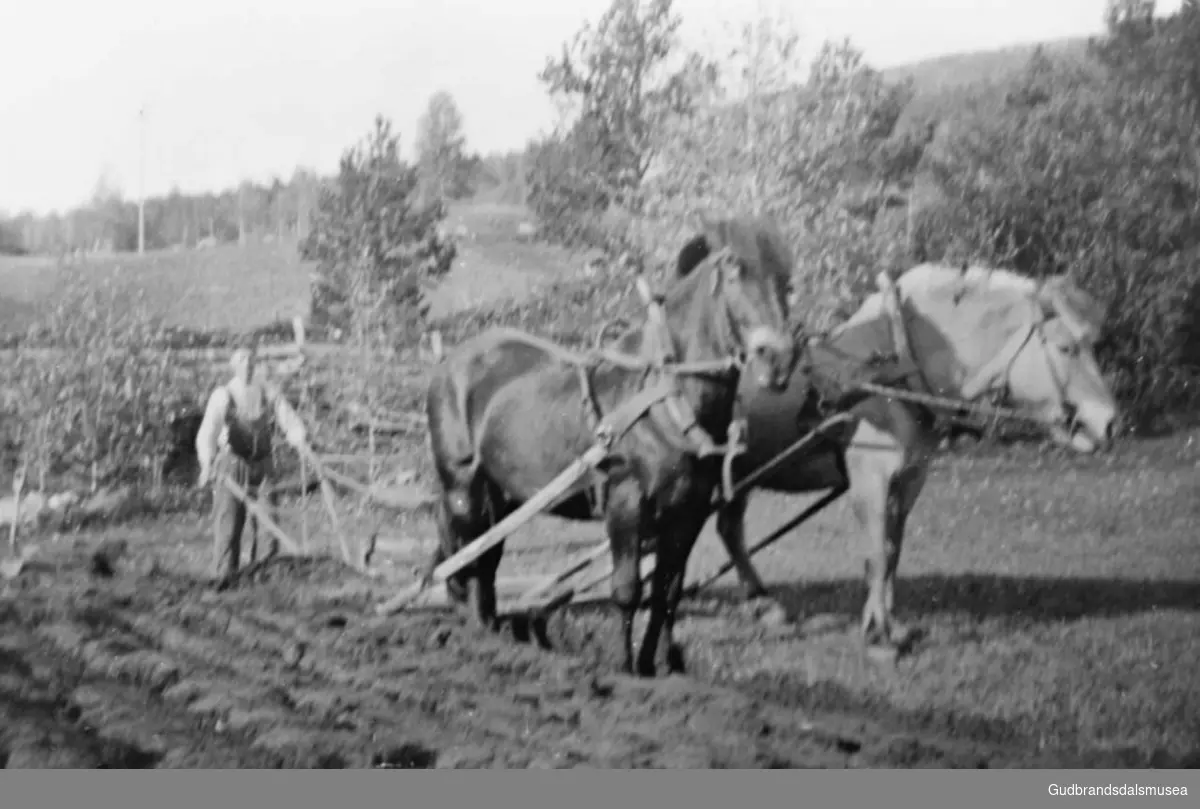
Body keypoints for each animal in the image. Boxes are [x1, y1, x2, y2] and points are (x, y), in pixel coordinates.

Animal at [422, 213, 796, 672]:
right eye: (735, 272)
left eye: (786, 280)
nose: (779, 360)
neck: (667, 400)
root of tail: (451, 362)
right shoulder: (625, 501)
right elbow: (627, 590)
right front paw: (624, 667)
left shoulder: (688, 511)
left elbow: (667, 594)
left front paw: (661, 666)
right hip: (464, 489)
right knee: (470, 559)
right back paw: (478, 637)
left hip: (503, 494)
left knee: (486, 562)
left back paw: (492, 633)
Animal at [705, 261, 1118, 652]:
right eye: (1066, 348)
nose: (1110, 422)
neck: (895, 371)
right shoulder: (870, 478)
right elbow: (876, 554)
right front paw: (879, 634)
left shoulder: (909, 478)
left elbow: (892, 551)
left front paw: (890, 624)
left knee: (729, 529)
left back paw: (762, 603)